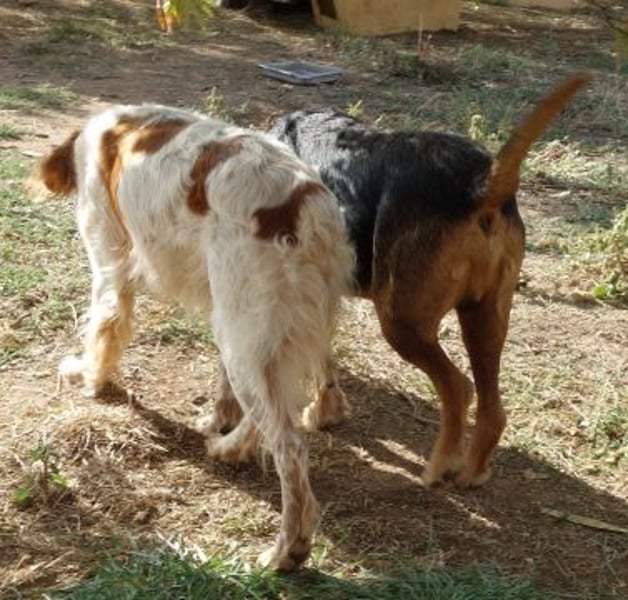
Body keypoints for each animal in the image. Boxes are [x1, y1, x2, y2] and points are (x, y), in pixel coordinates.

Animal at [40, 104, 354, 571]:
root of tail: (306, 205)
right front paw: (219, 420)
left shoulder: (110, 262)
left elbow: (103, 327)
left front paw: (90, 377)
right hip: (259, 326)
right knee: (299, 390)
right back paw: (232, 446)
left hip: (245, 330)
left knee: (290, 450)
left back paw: (286, 551)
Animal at [208, 75, 587, 489]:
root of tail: (481, 184)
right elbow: (324, 360)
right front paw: (326, 411)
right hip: (484, 318)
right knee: (492, 408)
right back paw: (471, 473)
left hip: (401, 322)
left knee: (458, 389)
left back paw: (438, 468)